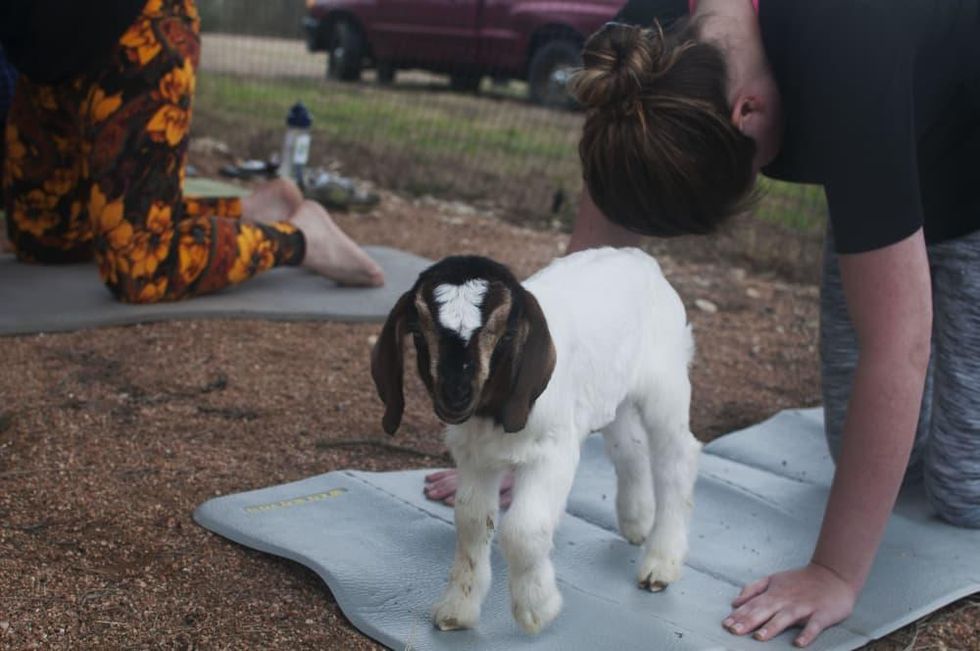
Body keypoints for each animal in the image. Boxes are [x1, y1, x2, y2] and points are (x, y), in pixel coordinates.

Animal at [371, 247, 701, 634]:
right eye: (419, 335)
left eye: (506, 335)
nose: (455, 397)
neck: (492, 413)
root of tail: (640, 257)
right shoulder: (475, 457)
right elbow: (471, 522)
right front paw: (457, 608)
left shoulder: (553, 453)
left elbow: (523, 530)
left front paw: (537, 608)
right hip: (610, 396)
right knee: (630, 449)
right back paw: (637, 522)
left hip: (666, 385)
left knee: (676, 458)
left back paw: (661, 562)